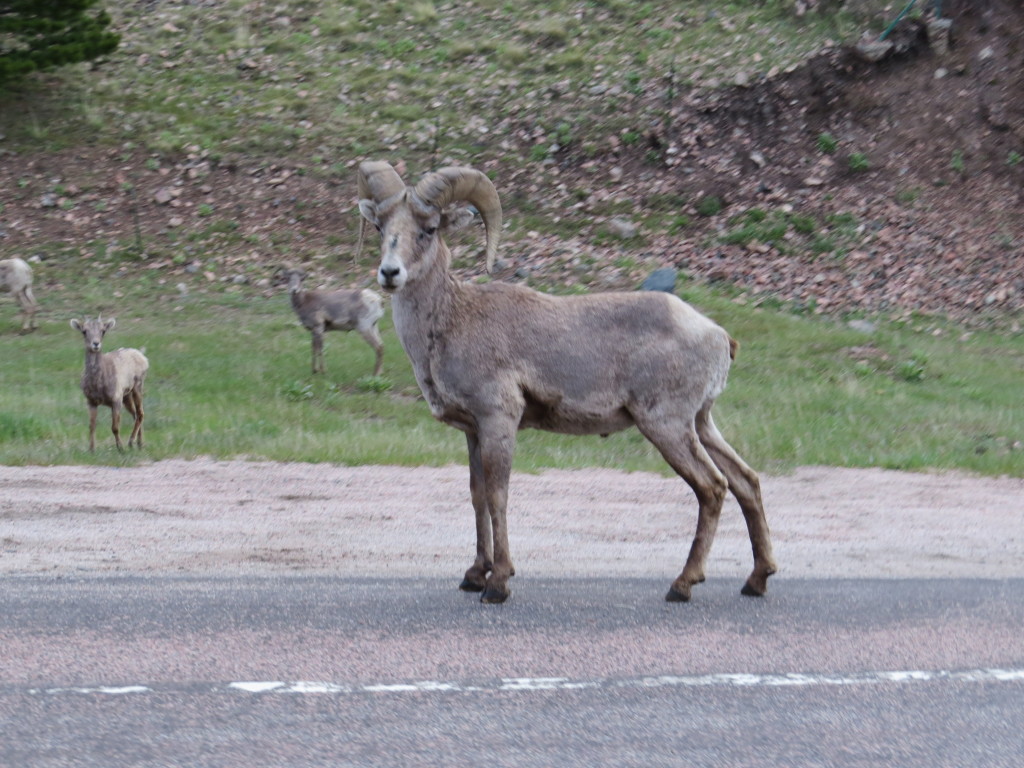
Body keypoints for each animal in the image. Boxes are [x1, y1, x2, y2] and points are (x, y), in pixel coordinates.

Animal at [70, 317, 149, 454]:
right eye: (84, 331)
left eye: (103, 331)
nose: (96, 344)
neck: (98, 385)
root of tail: (144, 358)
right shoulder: (91, 401)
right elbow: (92, 426)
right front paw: (91, 450)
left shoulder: (116, 399)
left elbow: (115, 427)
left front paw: (120, 448)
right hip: (126, 396)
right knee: (135, 414)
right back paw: (139, 443)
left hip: (137, 385)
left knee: (140, 414)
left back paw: (131, 442)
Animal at [358, 160, 774, 606]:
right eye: (381, 227)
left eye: (429, 228)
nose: (389, 273)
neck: (450, 320)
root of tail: (718, 336)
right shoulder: (473, 431)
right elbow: (476, 497)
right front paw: (473, 575)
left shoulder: (499, 420)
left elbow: (498, 496)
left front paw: (497, 584)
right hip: (701, 423)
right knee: (746, 481)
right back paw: (756, 580)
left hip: (667, 425)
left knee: (712, 488)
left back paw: (682, 585)